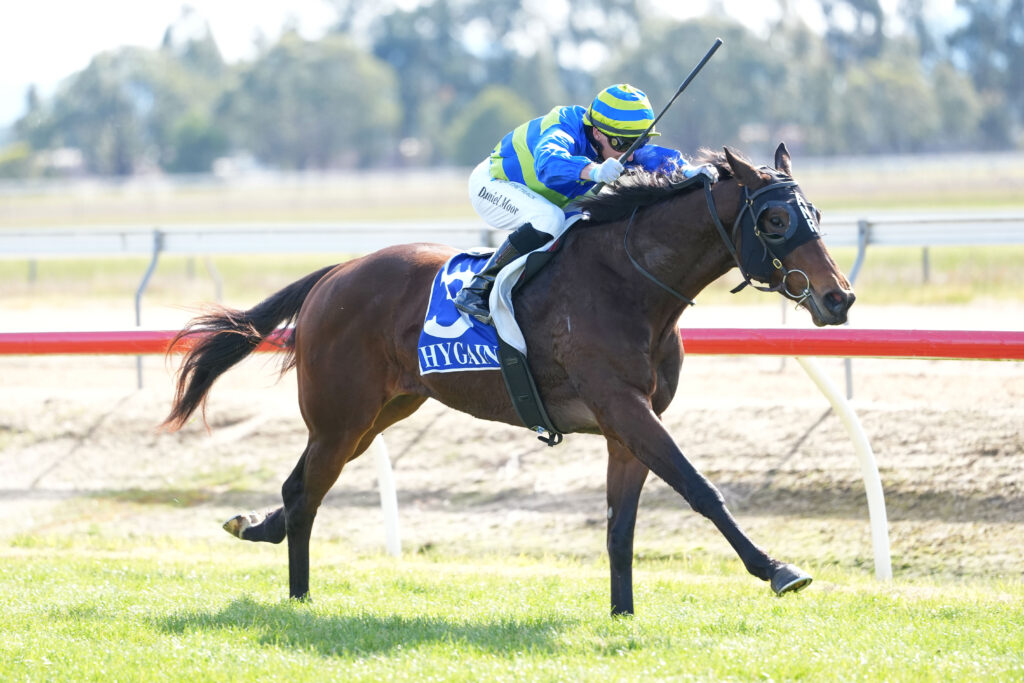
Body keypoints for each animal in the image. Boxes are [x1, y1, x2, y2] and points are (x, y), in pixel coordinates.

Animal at [162, 143, 855, 616]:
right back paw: (300, 597)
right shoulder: (624, 408)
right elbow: (699, 488)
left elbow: (620, 526)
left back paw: (258, 528)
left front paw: (623, 614)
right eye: (773, 222)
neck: (629, 283)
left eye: (816, 212)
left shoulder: (627, 424)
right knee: (307, 493)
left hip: (380, 413)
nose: (839, 297)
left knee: (297, 485)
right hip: (340, 416)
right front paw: (777, 567)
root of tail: (335, 273)